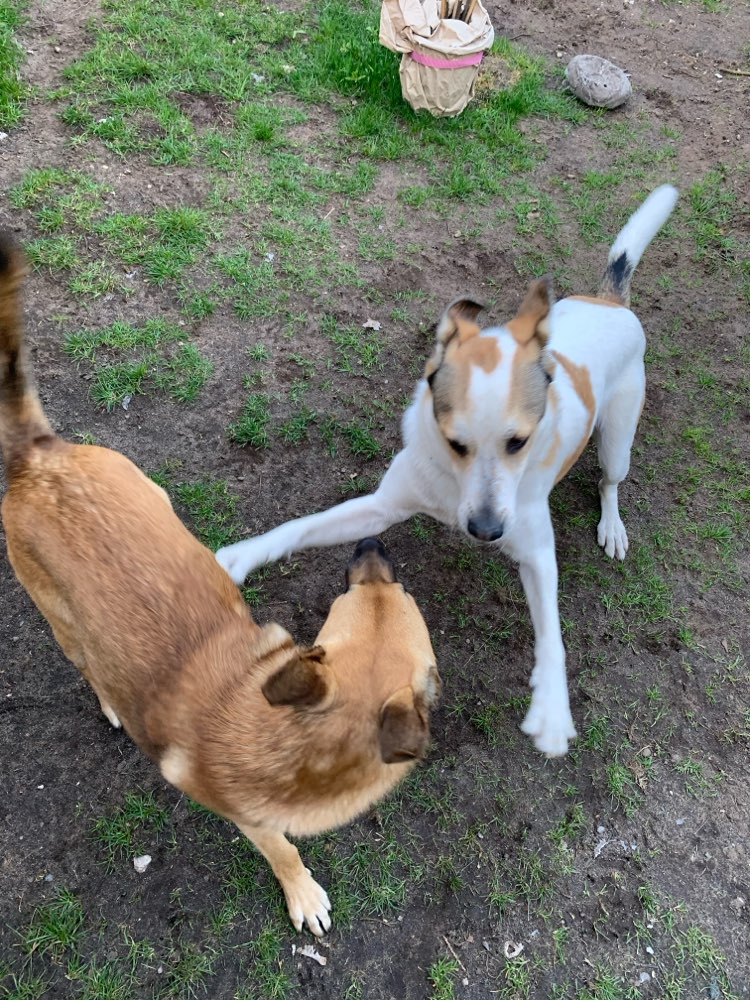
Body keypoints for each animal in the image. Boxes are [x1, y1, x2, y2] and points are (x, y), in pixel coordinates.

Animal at [0, 236, 440, 936]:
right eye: (357, 599)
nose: (371, 546)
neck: (284, 733)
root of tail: (37, 457)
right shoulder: (252, 822)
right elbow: (283, 852)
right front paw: (302, 893)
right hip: (61, 621)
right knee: (87, 666)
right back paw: (110, 702)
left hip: (153, 495)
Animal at [219, 184, 680, 752]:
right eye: (455, 442)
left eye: (518, 442)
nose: (485, 531)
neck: (456, 490)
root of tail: (611, 304)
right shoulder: (379, 509)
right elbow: (300, 528)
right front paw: (242, 556)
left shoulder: (534, 550)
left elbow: (552, 636)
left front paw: (552, 708)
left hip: (618, 438)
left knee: (610, 479)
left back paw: (612, 525)